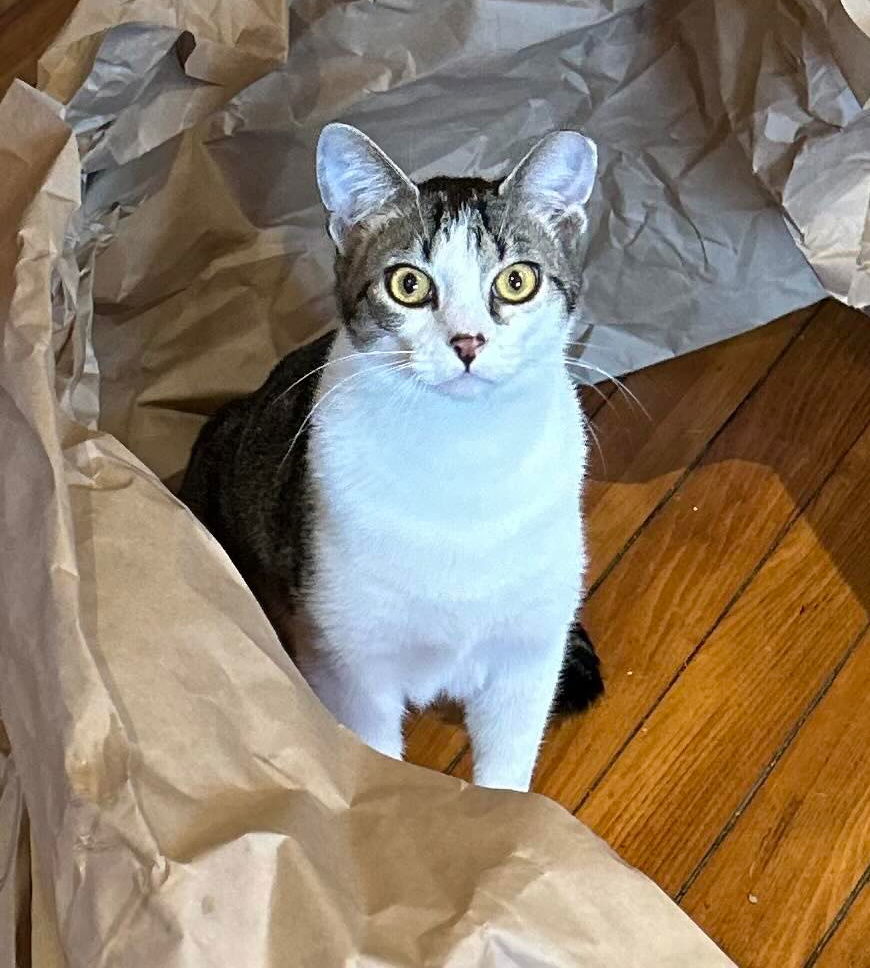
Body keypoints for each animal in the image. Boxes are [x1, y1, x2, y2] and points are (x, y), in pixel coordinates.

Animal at [182, 126, 608, 796]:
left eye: (517, 281)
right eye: (409, 284)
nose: (468, 341)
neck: (464, 455)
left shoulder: (527, 653)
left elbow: (507, 765)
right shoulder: (351, 665)